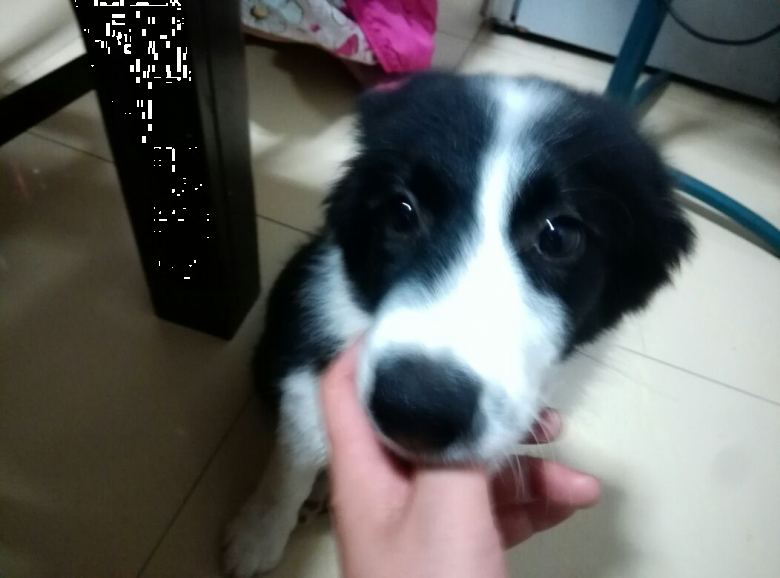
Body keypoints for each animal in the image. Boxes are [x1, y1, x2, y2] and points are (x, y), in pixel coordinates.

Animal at [224, 73, 694, 576]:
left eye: (560, 236)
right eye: (401, 212)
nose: (417, 408)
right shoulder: (315, 331)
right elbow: (298, 451)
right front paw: (256, 534)